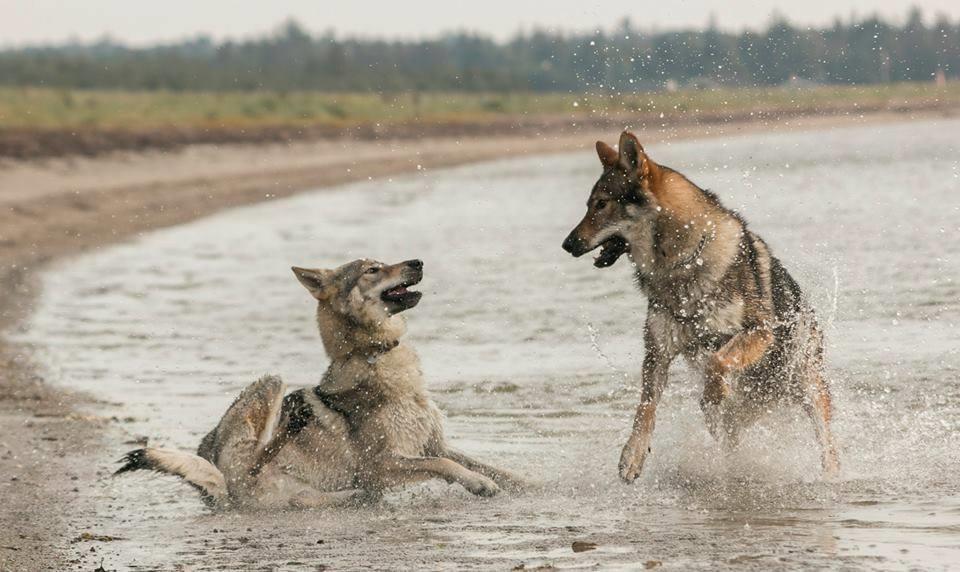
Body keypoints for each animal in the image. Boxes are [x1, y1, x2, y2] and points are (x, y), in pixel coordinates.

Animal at [120, 260, 528, 510]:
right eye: (374, 269)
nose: (418, 262)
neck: (376, 357)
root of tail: (215, 482)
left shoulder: (431, 443)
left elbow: (480, 463)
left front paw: (523, 482)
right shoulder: (379, 465)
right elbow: (444, 464)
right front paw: (477, 484)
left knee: (302, 498)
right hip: (273, 383)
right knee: (264, 455)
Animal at [564, 134, 840, 482]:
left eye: (601, 204)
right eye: (589, 205)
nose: (567, 244)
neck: (680, 265)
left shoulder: (759, 332)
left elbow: (719, 361)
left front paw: (714, 393)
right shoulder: (658, 352)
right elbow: (646, 406)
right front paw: (632, 456)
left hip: (808, 388)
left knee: (826, 444)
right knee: (729, 432)